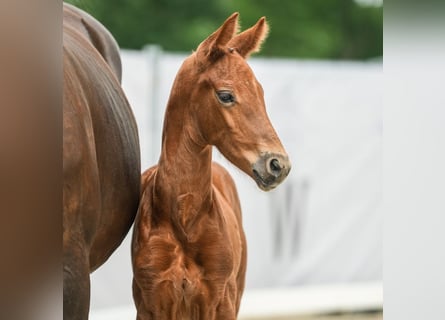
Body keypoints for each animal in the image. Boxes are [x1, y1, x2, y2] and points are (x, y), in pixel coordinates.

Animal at [131, 13, 292, 318]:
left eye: (260, 93)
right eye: (226, 95)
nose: (278, 165)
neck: (184, 221)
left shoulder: (220, 300)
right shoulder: (151, 302)